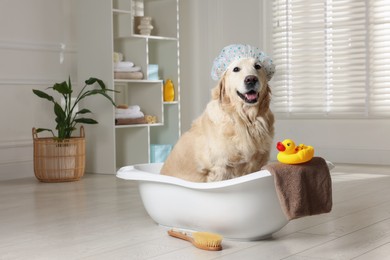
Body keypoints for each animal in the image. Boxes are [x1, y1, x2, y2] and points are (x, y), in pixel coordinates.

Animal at [161, 45, 274, 183]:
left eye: (257, 66)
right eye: (236, 69)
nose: (251, 79)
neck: (246, 119)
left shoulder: (258, 164)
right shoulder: (220, 168)